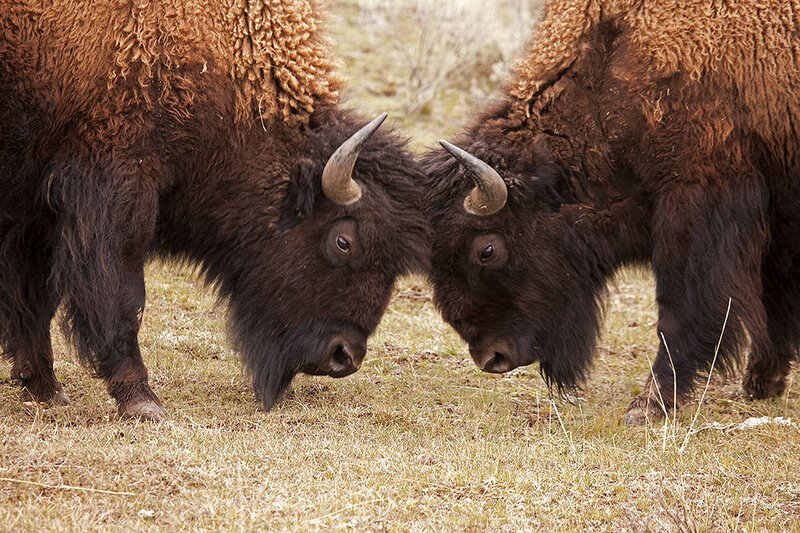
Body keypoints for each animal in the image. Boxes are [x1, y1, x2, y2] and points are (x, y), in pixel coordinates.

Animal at [0, 0, 428, 419]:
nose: (344, 356)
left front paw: (44, 387)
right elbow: (121, 296)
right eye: (343, 241)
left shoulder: (37, 203)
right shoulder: (113, 189)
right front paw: (143, 401)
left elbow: (34, 297)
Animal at [423, 0, 800, 424]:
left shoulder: (697, 198)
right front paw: (761, 382)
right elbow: (775, 297)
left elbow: (681, 307)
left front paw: (647, 405)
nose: (492, 357)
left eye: (486, 249)